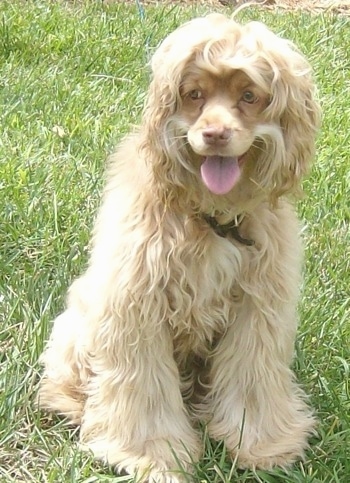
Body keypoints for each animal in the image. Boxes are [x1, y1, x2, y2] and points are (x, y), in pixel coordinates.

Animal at [38, 13, 320, 482]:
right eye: (194, 95)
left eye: (249, 96)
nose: (215, 133)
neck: (211, 215)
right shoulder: (136, 305)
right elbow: (142, 387)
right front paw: (150, 454)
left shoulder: (258, 307)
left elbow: (253, 375)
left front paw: (263, 444)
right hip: (80, 322)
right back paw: (75, 406)